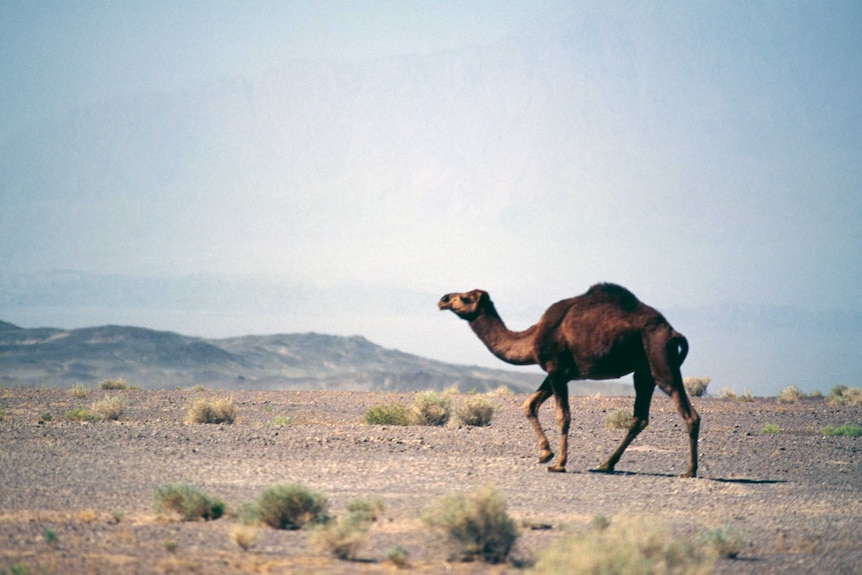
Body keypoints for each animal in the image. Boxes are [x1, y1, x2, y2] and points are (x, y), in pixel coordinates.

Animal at [438, 284, 704, 476]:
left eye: (465, 298)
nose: (443, 299)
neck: (532, 337)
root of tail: (673, 332)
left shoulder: (556, 368)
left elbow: (562, 415)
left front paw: (558, 463)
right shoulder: (558, 372)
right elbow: (529, 405)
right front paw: (544, 453)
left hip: (661, 361)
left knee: (688, 412)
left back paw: (689, 470)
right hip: (643, 372)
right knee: (640, 417)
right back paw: (605, 464)